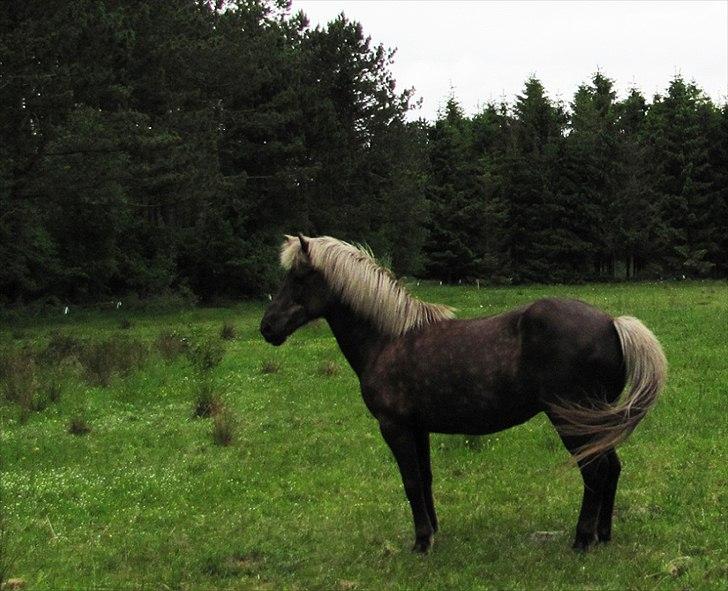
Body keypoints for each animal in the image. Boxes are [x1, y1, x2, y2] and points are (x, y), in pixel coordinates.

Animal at [260, 235, 664, 556]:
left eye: (298, 277)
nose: (267, 327)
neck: (389, 339)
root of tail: (612, 323)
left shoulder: (394, 427)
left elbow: (410, 482)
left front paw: (421, 542)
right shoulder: (417, 428)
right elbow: (424, 479)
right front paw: (433, 531)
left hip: (570, 418)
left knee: (595, 471)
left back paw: (582, 539)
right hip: (592, 419)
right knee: (611, 467)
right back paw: (603, 534)